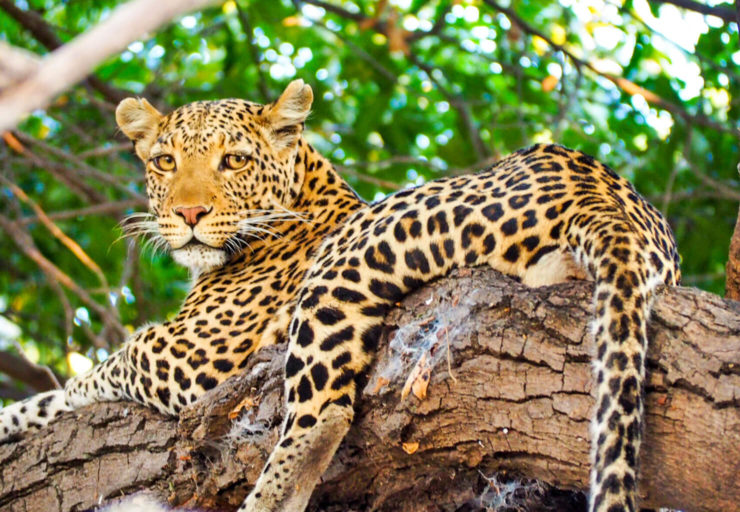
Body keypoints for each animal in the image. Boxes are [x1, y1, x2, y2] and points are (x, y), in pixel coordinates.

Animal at [0, 79, 680, 512]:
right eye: (165, 162)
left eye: (234, 160)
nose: (190, 214)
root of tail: (601, 192)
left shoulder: (190, 356)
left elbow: (90, 375)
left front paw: (17, 415)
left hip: (345, 266)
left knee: (322, 413)